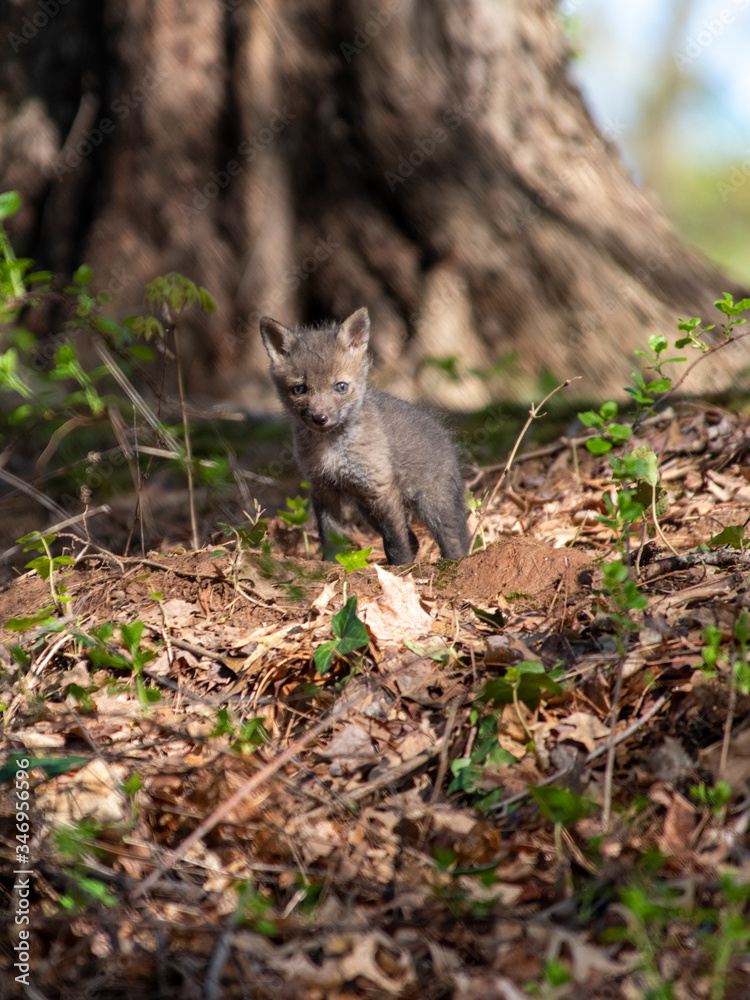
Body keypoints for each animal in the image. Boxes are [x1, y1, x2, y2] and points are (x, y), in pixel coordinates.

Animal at [259, 307, 470, 565]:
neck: (333, 450)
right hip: (367, 510)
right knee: (414, 538)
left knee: (454, 540)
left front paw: (401, 567)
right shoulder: (323, 488)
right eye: (299, 389)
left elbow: (395, 540)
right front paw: (330, 564)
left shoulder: (381, 488)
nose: (320, 418)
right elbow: (329, 534)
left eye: (340, 387)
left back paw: (455, 562)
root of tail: (441, 429)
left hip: (435, 504)